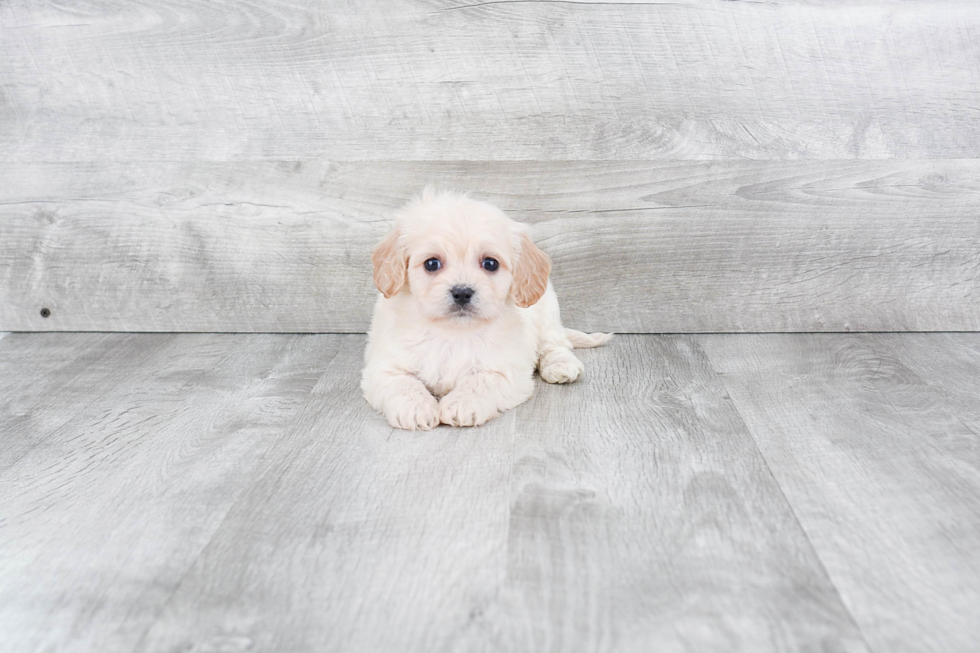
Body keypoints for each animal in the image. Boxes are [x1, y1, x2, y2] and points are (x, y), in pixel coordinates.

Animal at [360, 188, 612, 428]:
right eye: (431, 263)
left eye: (490, 263)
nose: (462, 292)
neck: (453, 332)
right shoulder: (384, 367)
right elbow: (402, 383)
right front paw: (415, 408)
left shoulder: (506, 370)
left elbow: (480, 381)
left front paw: (462, 404)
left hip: (548, 312)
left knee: (555, 345)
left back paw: (561, 365)